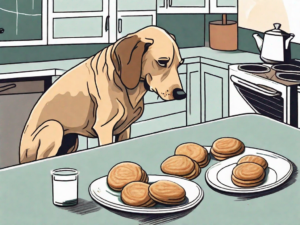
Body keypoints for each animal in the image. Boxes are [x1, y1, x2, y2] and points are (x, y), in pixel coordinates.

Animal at [19, 25, 185, 163]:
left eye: (180, 64)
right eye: (162, 62)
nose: (182, 94)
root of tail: (21, 154)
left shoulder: (124, 129)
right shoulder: (104, 128)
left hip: (71, 142)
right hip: (53, 127)